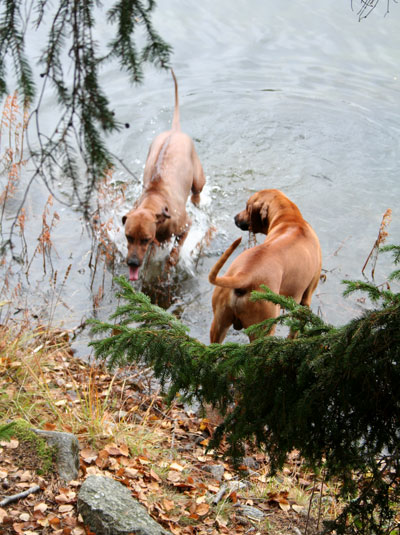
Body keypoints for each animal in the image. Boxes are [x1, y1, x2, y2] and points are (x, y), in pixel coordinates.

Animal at [122, 69, 206, 282]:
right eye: (128, 236)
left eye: (144, 239)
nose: (132, 263)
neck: (155, 198)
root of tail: (174, 130)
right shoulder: (156, 242)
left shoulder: (185, 227)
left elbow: (174, 253)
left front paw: (169, 266)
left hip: (198, 178)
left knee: (197, 191)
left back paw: (196, 201)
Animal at [209, 191, 322, 344]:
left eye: (247, 207)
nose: (235, 218)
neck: (291, 219)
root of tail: (244, 275)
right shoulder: (305, 299)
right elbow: (294, 330)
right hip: (264, 328)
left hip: (219, 324)